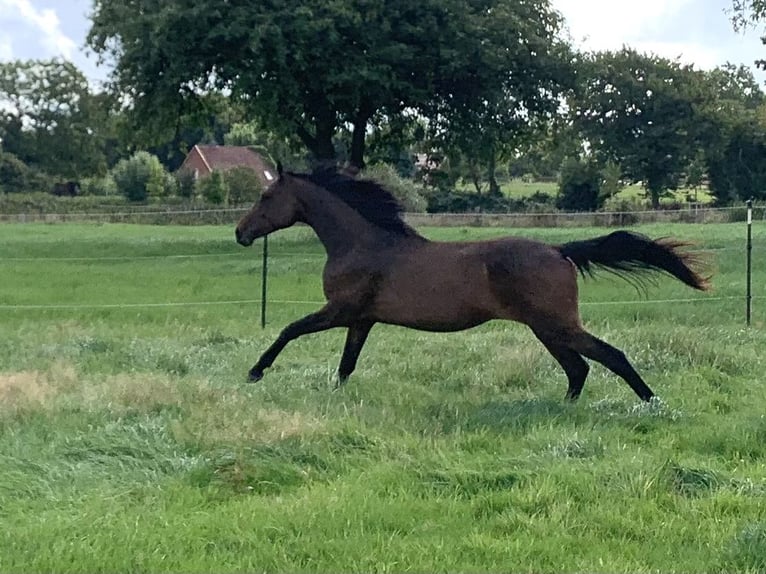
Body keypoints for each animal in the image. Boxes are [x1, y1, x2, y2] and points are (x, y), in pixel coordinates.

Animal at [235, 165, 709, 402]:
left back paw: (651, 403)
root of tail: (560, 251)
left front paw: (255, 372)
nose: (241, 233)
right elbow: (346, 365)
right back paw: (566, 408)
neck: (364, 243)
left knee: (608, 356)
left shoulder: (340, 311)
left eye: (266, 197)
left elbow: (289, 330)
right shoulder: (362, 319)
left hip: (555, 325)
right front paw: (335, 397)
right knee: (579, 367)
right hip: (547, 329)